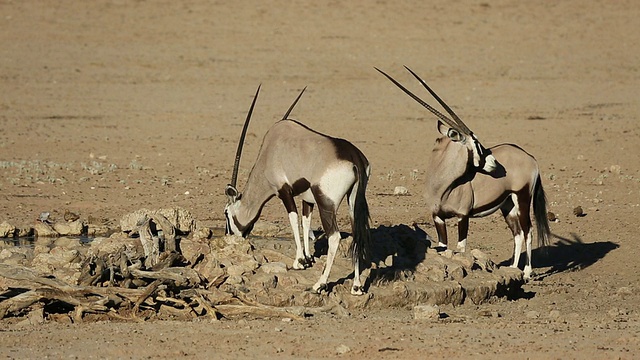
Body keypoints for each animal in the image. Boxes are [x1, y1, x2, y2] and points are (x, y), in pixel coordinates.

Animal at [225, 86, 372, 294]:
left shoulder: (284, 192)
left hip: (326, 203)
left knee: (334, 237)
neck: (269, 152)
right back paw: (357, 286)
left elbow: (294, 219)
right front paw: (308, 257)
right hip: (353, 202)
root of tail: (354, 157)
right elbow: (306, 221)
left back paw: (319, 284)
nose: (230, 236)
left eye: (226, 213)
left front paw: (299, 261)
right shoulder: (308, 199)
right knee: (357, 234)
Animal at [378, 68, 552, 282]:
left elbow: (461, 247)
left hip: (522, 197)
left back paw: (527, 272)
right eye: (477, 143)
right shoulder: (437, 217)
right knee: (518, 233)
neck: (442, 185)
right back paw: (513, 268)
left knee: (528, 230)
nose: (495, 165)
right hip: (508, 205)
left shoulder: (463, 216)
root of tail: (530, 157)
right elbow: (443, 247)